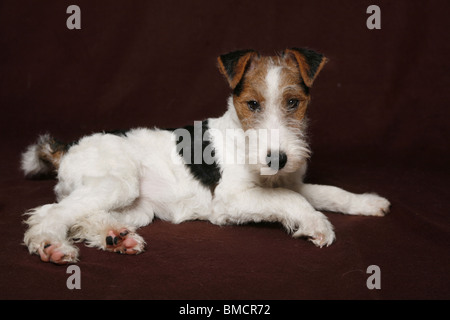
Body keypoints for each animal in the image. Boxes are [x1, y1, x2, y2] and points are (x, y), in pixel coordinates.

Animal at [22, 47, 390, 262]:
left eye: (293, 102)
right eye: (252, 104)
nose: (277, 159)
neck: (240, 135)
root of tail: (66, 148)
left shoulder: (289, 182)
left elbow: (329, 193)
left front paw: (368, 202)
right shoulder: (230, 201)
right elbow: (294, 200)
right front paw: (316, 223)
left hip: (135, 207)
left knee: (77, 216)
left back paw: (115, 237)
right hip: (117, 184)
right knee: (49, 214)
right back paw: (50, 245)